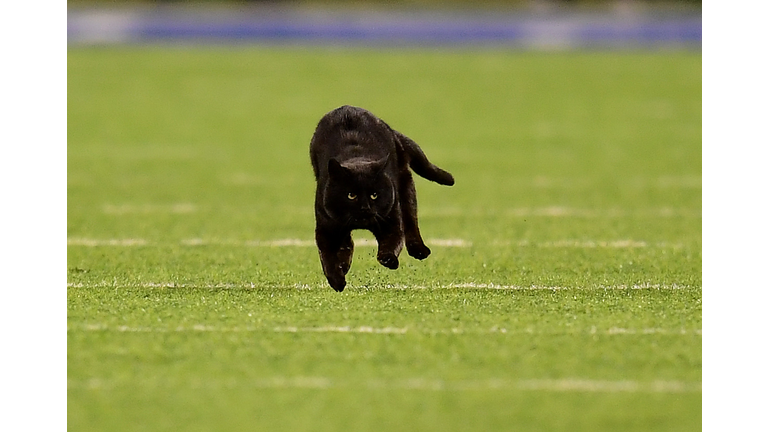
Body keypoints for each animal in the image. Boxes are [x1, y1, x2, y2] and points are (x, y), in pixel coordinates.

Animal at [308, 106, 452, 292]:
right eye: (351, 195)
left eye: (374, 195)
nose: (365, 207)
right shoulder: (327, 229)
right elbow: (327, 258)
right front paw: (337, 281)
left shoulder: (390, 222)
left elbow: (391, 243)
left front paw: (389, 260)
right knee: (348, 242)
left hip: (405, 186)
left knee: (411, 219)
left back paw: (419, 250)